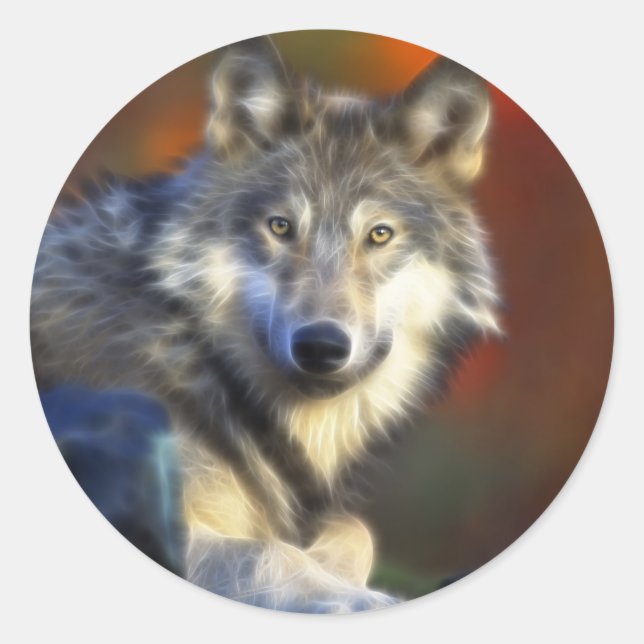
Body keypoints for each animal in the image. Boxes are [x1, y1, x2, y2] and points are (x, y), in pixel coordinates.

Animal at [31, 36, 499, 612]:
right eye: (280, 227)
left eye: (380, 234)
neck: (198, 357)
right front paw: (360, 598)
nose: (321, 346)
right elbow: (270, 552)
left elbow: (353, 531)